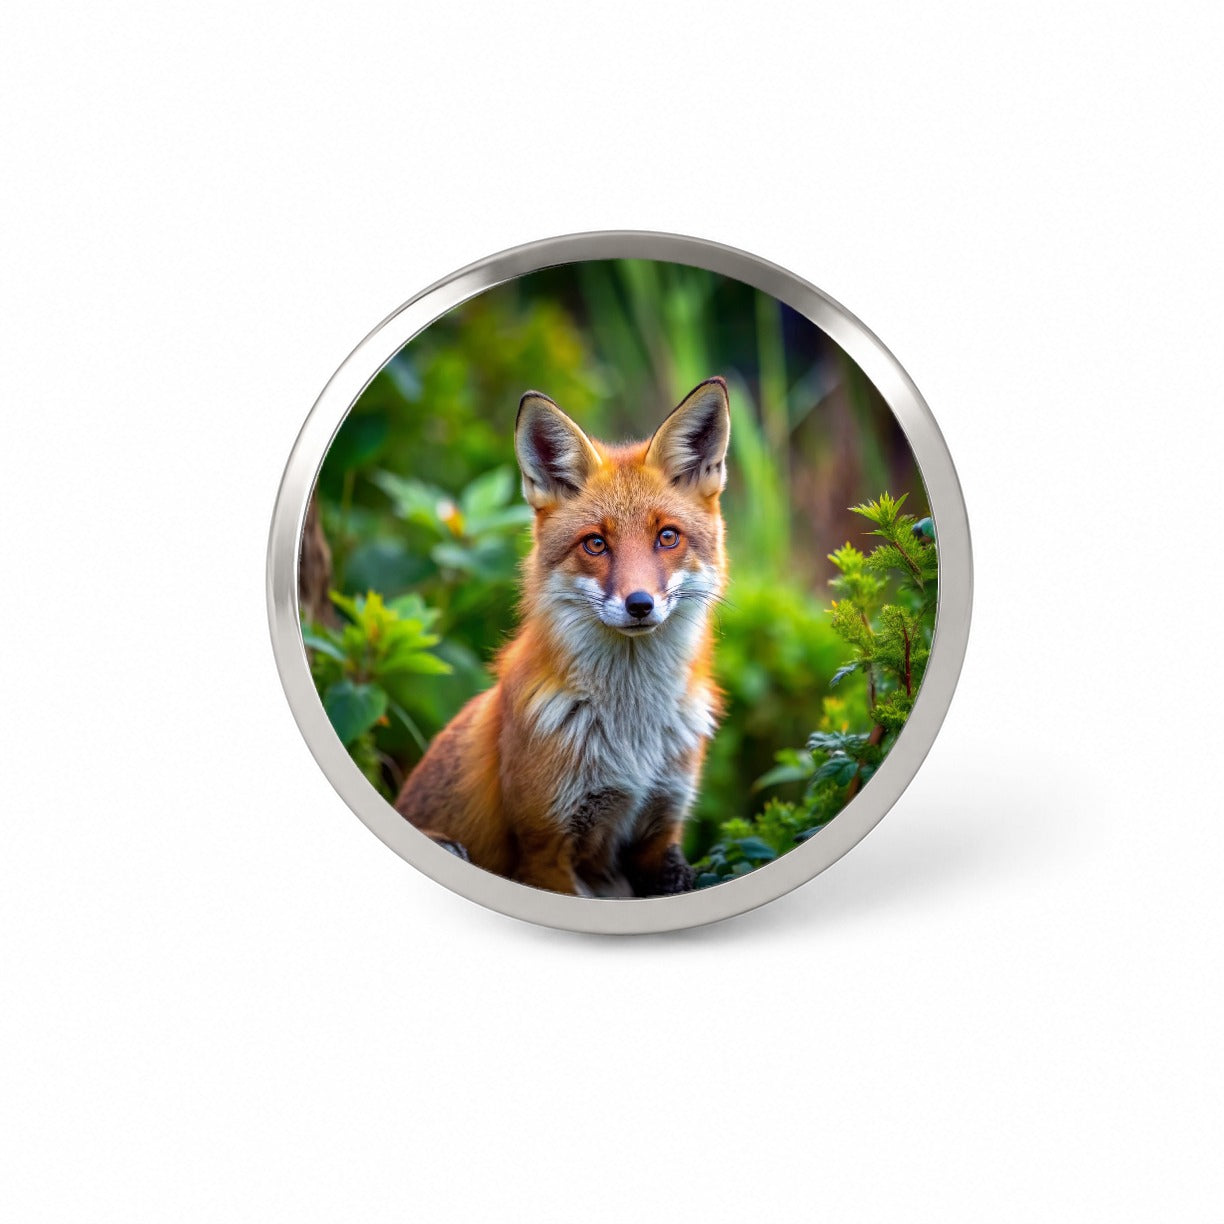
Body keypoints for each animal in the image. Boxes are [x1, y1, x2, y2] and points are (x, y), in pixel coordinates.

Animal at [394, 377, 732, 897]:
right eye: (595, 543)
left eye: (667, 537)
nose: (640, 604)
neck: (632, 739)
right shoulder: (545, 849)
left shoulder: (661, 834)